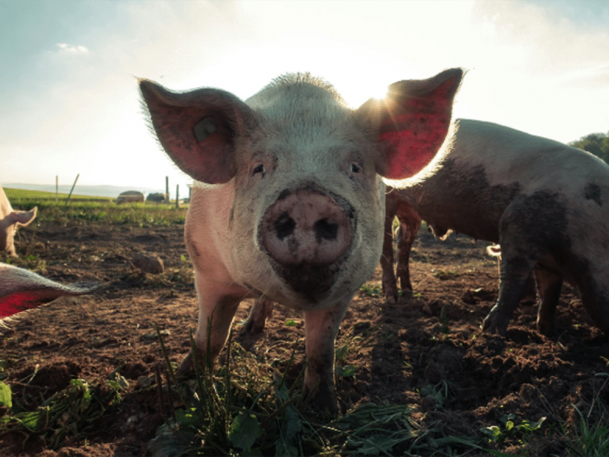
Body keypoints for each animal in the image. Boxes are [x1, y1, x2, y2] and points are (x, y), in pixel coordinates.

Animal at [138, 68, 460, 414]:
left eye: (355, 167)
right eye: (259, 167)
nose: (307, 200)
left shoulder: (345, 289)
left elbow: (321, 350)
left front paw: (324, 411)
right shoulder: (206, 267)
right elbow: (209, 338)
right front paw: (183, 389)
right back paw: (248, 332)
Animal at [380, 118, 608, 334]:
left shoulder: (548, 259)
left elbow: (550, 293)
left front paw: (549, 332)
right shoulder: (516, 227)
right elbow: (512, 284)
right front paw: (491, 331)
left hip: (411, 212)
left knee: (403, 240)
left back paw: (408, 291)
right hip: (386, 199)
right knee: (385, 246)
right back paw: (392, 298)